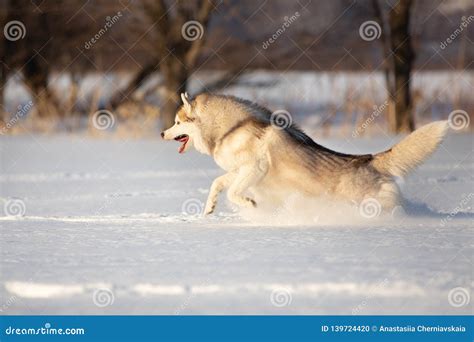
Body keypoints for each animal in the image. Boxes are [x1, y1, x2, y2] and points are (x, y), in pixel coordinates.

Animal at [162, 93, 448, 216]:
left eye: (177, 122)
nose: (163, 133)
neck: (232, 128)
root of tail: (370, 158)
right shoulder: (238, 171)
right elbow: (217, 183)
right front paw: (209, 208)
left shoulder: (255, 169)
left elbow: (233, 192)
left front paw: (250, 204)